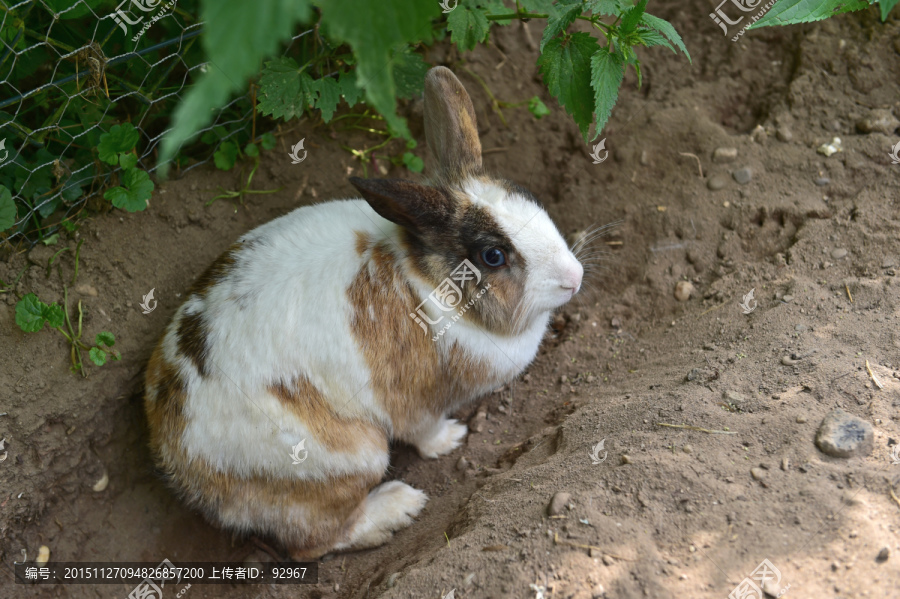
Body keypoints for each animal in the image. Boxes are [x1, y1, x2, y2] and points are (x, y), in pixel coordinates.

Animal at [144, 67, 584, 564]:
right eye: (492, 256)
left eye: (527, 196)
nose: (575, 278)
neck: (427, 280)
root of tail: (177, 458)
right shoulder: (416, 404)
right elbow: (424, 432)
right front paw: (452, 439)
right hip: (354, 457)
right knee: (312, 543)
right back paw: (398, 508)